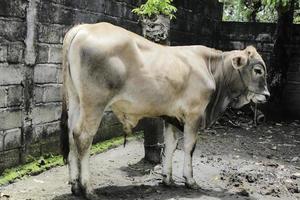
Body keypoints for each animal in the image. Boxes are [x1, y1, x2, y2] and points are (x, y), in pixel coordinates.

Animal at [60, 22, 270, 198]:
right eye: (258, 70)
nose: (267, 95)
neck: (211, 69)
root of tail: (83, 27)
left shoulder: (172, 116)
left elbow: (171, 145)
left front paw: (167, 179)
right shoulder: (194, 114)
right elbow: (189, 147)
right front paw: (190, 180)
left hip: (76, 101)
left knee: (71, 135)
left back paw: (75, 185)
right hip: (94, 103)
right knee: (83, 137)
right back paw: (88, 188)